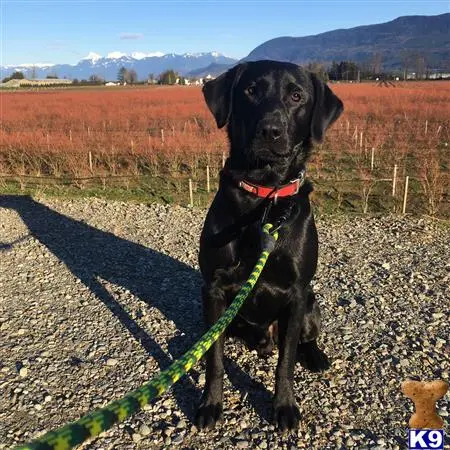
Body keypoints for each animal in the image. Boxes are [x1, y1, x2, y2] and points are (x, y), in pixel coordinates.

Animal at [195, 59, 342, 428]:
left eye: (297, 95)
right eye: (250, 90)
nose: (270, 130)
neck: (264, 196)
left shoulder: (296, 293)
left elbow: (285, 362)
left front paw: (284, 406)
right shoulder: (213, 289)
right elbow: (215, 359)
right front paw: (210, 403)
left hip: (310, 304)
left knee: (303, 340)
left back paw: (314, 356)